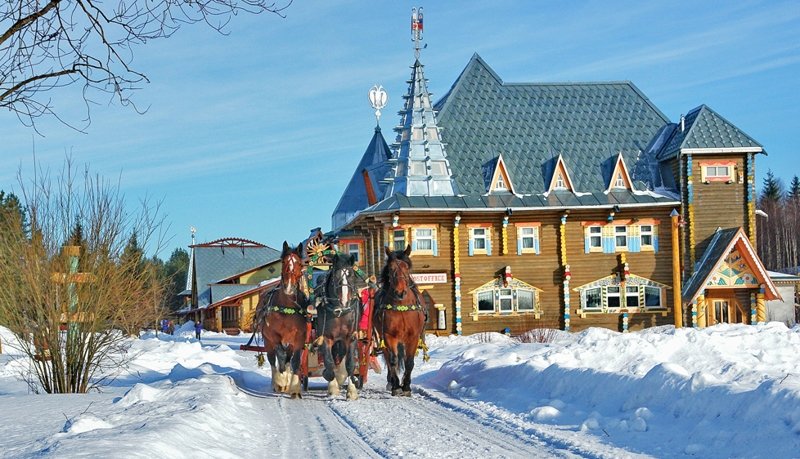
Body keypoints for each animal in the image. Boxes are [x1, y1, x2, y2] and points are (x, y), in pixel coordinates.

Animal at [258, 241, 308, 398]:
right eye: (284, 262)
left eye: (299, 263)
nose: (289, 286)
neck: (287, 309)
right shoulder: (273, 336)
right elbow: (279, 356)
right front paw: (280, 381)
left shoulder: (298, 338)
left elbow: (295, 361)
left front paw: (295, 388)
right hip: (267, 340)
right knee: (273, 359)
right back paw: (277, 382)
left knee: (286, 359)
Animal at [316, 253, 362, 400]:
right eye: (336, 276)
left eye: (352, 275)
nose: (344, 301)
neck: (340, 311)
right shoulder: (326, 337)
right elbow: (329, 362)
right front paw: (332, 386)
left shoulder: (351, 337)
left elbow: (350, 363)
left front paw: (352, 391)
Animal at [374, 246, 428, 398]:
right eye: (391, 268)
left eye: (406, 267)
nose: (400, 292)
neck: (402, 306)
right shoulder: (388, 336)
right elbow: (392, 360)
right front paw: (396, 386)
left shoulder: (413, 337)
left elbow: (409, 362)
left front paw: (406, 386)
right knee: (389, 357)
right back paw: (391, 382)